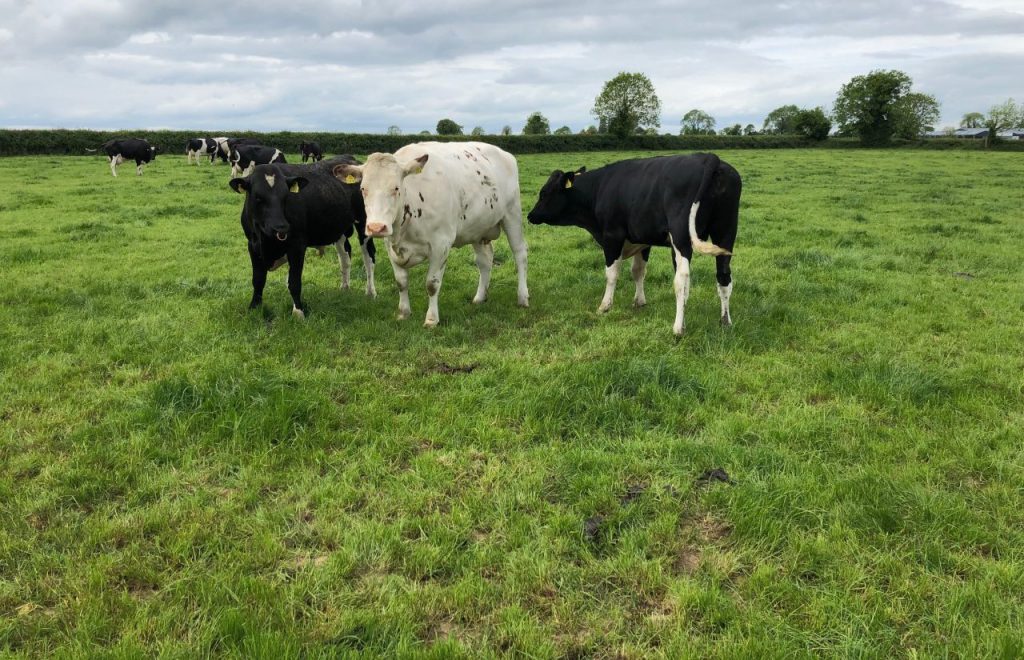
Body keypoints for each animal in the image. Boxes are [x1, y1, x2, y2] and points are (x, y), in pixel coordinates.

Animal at [229, 156, 377, 318]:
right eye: (258, 197)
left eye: (286, 196)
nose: (281, 226)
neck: (267, 241)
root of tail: (351, 159)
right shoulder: (253, 244)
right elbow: (258, 279)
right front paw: (254, 307)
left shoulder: (297, 246)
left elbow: (294, 281)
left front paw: (298, 312)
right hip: (339, 228)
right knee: (345, 256)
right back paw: (344, 288)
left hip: (364, 223)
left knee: (368, 256)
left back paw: (370, 292)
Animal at [332, 141, 528, 328]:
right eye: (363, 189)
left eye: (396, 188)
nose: (376, 227)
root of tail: (505, 153)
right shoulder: (390, 246)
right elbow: (401, 282)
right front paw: (403, 313)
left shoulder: (441, 244)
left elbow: (432, 284)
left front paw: (432, 319)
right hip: (478, 228)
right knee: (484, 260)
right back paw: (479, 298)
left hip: (512, 215)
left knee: (520, 254)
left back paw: (523, 297)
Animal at [526, 152, 740, 336]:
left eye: (544, 193)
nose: (530, 215)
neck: (598, 188)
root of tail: (709, 158)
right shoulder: (642, 240)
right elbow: (638, 271)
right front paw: (639, 301)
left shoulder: (612, 236)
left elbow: (612, 273)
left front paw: (605, 306)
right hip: (726, 231)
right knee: (723, 277)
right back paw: (725, 322)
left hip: (681, 236)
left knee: (682, 279)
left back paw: (678, 328)